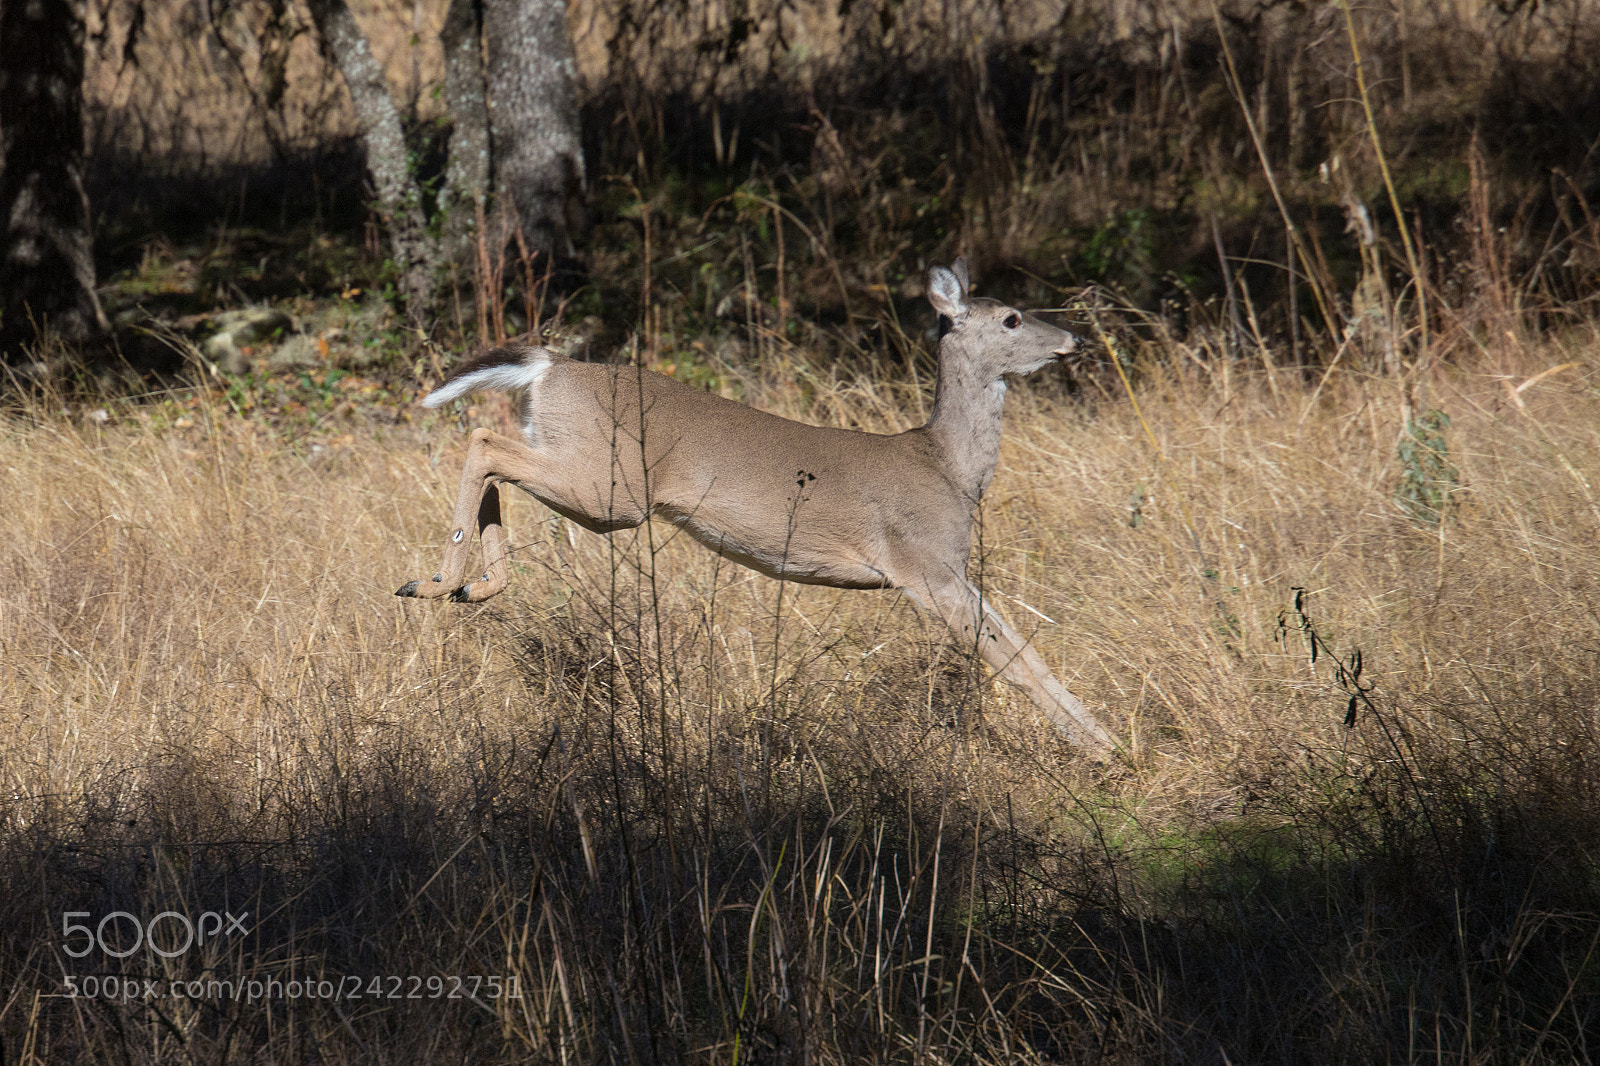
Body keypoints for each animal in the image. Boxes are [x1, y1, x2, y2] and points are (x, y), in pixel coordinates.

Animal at [397, 258, 1118, 754]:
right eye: (1013, 318)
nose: (1073, 340)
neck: (949, 467)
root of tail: (549, 367)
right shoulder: (925, 563)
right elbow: (1012, 659)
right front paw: (1101, 751)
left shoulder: (952, 569)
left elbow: (1025, 646)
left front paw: (1106, 738)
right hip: (613, 489)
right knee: (483, 440)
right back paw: (433, 581)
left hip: (591, 474)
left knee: (495, 460)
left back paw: (470, 586)